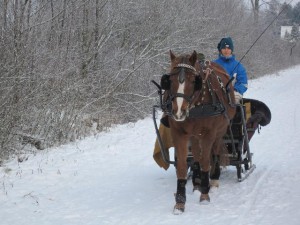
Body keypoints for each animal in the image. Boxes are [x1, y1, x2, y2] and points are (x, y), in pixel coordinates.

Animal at [165, 50, 236, 214]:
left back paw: (213, 181)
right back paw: (196, 184)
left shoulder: (208, 134)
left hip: (219, 132)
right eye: (170, 80)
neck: (195, 107)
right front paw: (180, 202)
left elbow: (205, 162)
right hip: (195, 135)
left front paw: (205, 195)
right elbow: (182, 166)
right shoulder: (179, 134)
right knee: (196, 155)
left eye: (193, 81)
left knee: (214, 154)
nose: (179, 112)